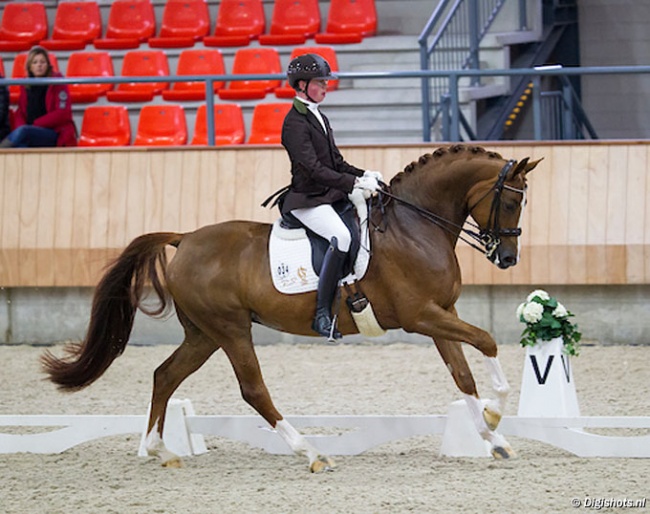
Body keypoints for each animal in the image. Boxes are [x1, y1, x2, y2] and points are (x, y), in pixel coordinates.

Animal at [39, 143, 536, 468]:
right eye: (512, 202)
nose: (508, 259)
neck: (415, 226)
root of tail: (185, 238)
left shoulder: (440, 315)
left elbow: (463, 375)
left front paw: (492, 436)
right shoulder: (421, 316)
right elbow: (488, 342)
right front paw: (496, 412)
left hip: (203, 334)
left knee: (165, 376)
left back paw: (161, 450)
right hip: (231, 329)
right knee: (253, 390)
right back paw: (310, 453)